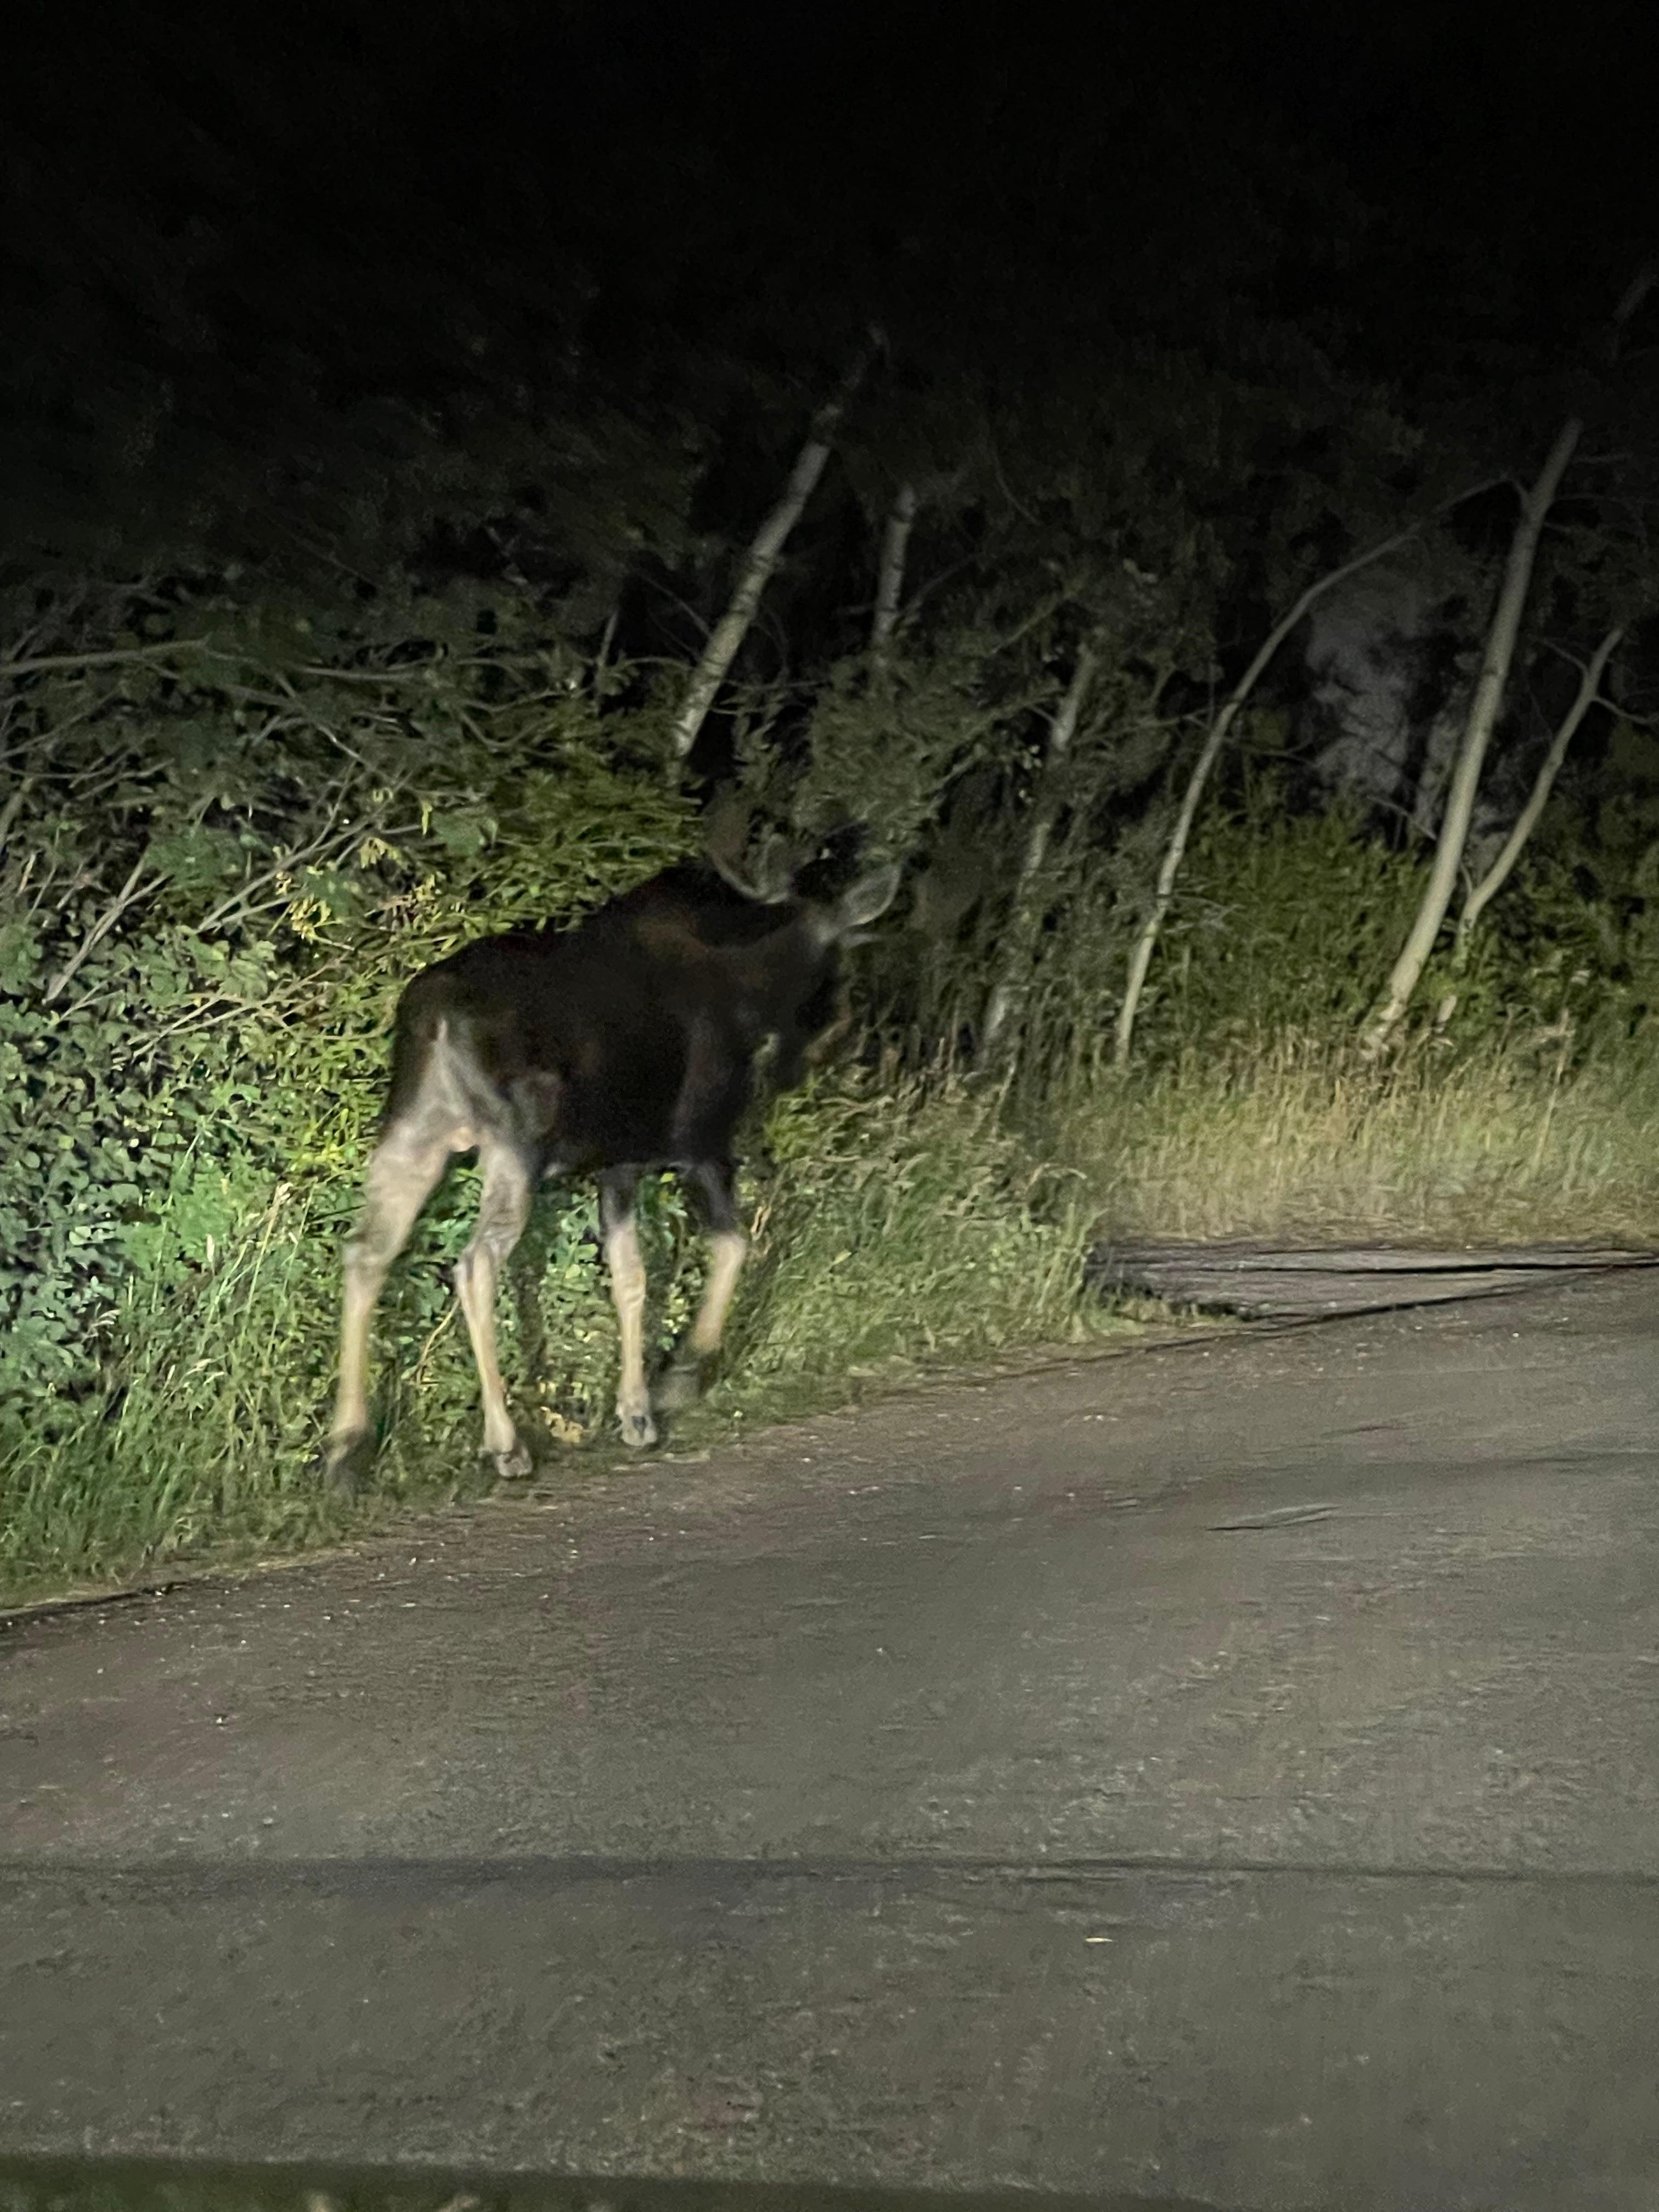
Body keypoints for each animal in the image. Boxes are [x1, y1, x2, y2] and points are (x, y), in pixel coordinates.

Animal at [322, 837, 900, 1493]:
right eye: (841, 961)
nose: (837, 1033)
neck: (753, 991)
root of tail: (436, 1019)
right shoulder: (700, 1142)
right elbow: (731, 1247)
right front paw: (679, 1377)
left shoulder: (619, 1162)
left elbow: (630, 1278)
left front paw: (634, 1412)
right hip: (515, 1145)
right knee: (474, 1265)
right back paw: (505, 1444)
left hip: (412, 1132)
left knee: (366, 1252)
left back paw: (345, 1448)